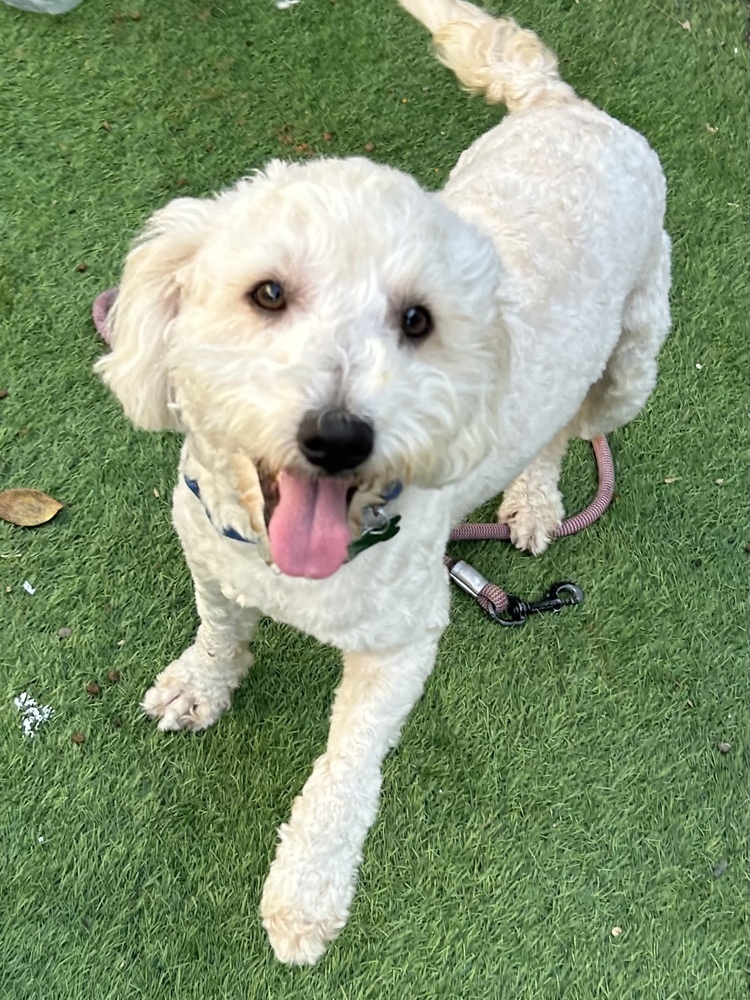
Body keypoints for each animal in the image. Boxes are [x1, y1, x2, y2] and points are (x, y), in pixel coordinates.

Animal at [97, 0, 672, 968]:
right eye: (267, 294)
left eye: (416, 320)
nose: (338, 437)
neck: (279, 561)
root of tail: (566, 105)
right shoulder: (209, 557)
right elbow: (219, 630)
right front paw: (202, 683)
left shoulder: (402, 645)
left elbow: (344, 772)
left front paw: (305, 897)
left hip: (631, 359)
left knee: (568, 427)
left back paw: (535, 499)